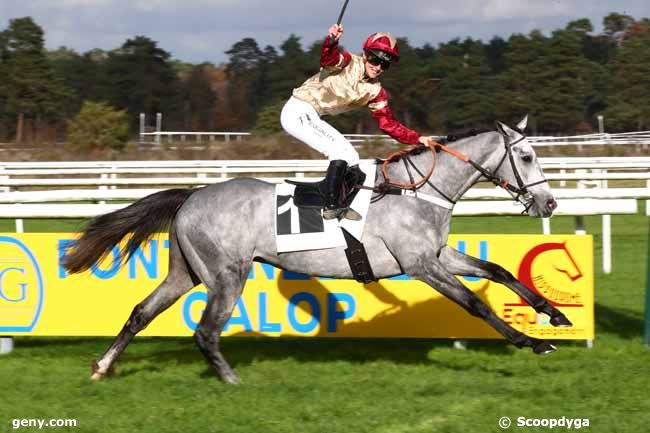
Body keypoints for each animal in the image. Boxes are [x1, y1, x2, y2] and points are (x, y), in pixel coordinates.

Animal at [64, 117, 572, 382]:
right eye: (526, 156)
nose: (549, 203)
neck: (420, 190)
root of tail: (193, 195)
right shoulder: (420, 265)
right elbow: (473, 303)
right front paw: (532, 341)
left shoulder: (438, 256)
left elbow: (498, 270)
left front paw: (555, 315)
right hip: (227, 275)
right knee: (205, 330)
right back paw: (231, 379)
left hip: (185, 272)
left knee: (141, 312)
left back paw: (103, 366)